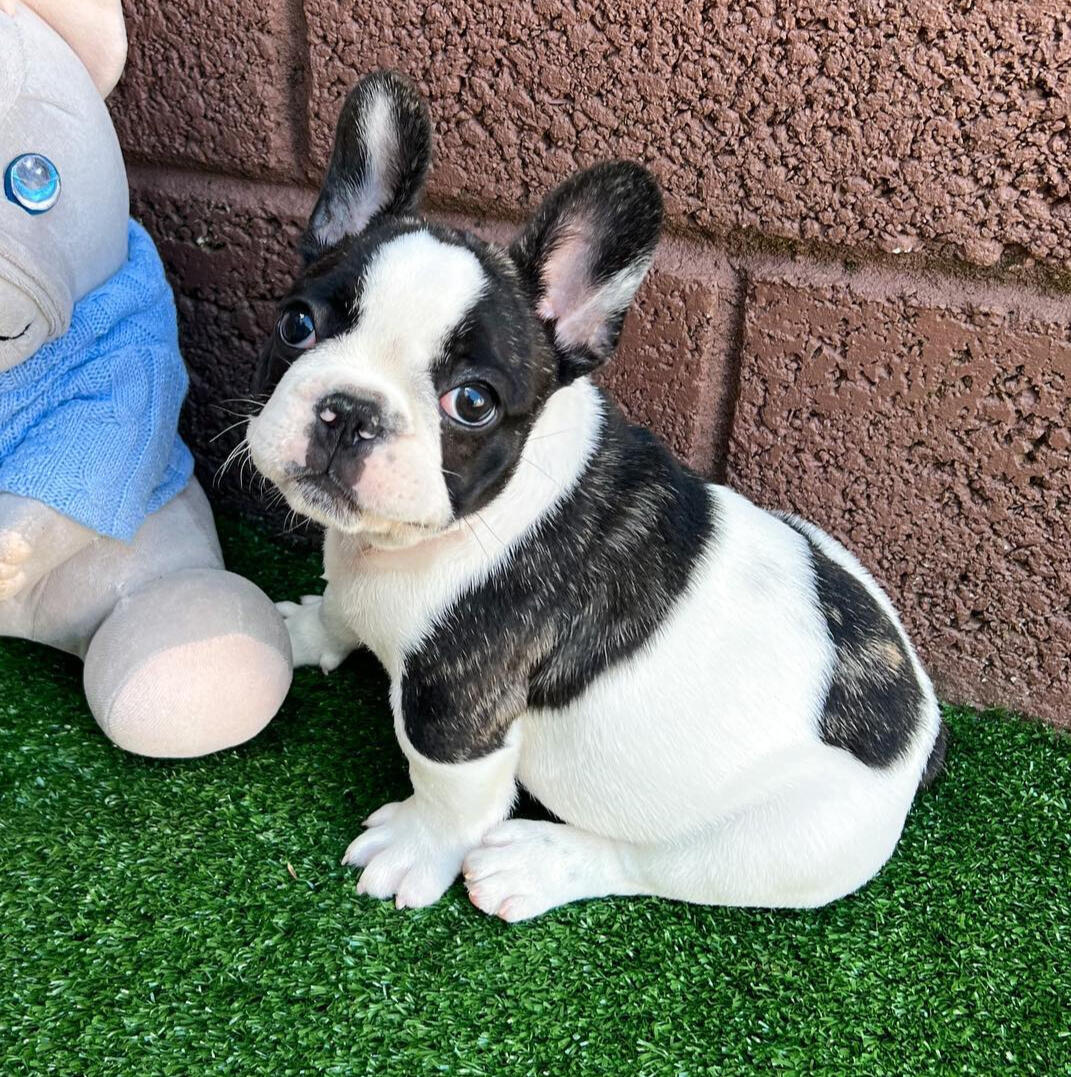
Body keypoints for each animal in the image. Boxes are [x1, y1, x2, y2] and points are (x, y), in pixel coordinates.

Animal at [248, 71, 943, 921]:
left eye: (471, 403)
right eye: (296, 324)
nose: (349, 411)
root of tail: (920, 728)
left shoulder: (457, 708)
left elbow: (448, 792)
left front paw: (414, 848)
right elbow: (342, 611)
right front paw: (305, 626)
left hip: (786, 844)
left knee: (654, 863)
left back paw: (535, 865)